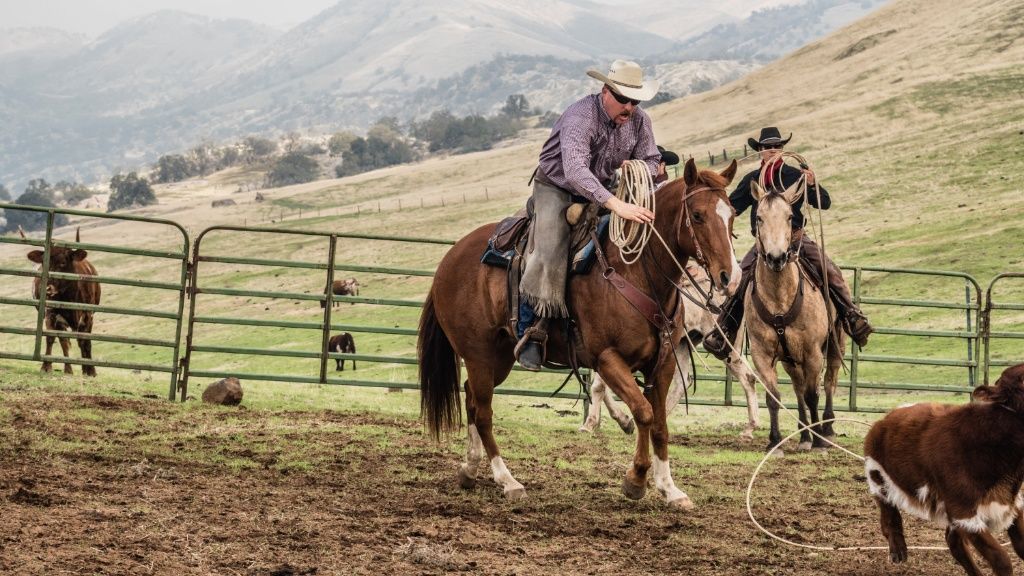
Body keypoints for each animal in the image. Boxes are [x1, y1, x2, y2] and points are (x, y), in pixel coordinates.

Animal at [25, 228, 100, 377]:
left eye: (63, 262)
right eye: (44, 262)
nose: (48, 288)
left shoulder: (87, 315)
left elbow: (85, 342)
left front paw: (90, 371)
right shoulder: (51, 313)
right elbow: (51, 339)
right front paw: (46, 367)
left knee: (82, 342)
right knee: (64, 341)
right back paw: (68, 369)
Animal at [419, 157, 741, 506]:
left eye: (732, 213)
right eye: (697, 215)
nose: (730, 276)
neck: (636, 273)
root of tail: (449, 259)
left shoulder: (664, 361)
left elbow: (660, 424)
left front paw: (670, 488)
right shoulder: (607, 358)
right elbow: (643, 413)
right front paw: (636, 479)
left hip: (499, 356)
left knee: (471, 399)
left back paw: (470, 468)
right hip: (477, 353)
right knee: (483, 412)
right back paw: (507, 479)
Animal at [741, 179, 843, 453]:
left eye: (789, 216)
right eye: (759, 218)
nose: (776, 258)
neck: (780, 299)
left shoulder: (812, 352)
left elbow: (813, 394)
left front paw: (819, 441)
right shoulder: (763, 354)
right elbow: (774, 397)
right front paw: (775, 442)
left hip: (835, 344)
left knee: (829, 381)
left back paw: (827, 429)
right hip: (790, 360)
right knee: (798, 388)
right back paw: (804, 434)